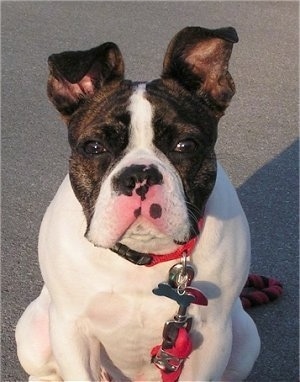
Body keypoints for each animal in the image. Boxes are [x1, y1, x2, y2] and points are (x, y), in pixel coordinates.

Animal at [15, 26, 260, 382]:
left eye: (186, 145)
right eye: (94, 147)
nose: (139, 175)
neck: (142, 256)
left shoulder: (212, 338)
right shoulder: (71, 329)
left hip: (244, 335)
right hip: (34, 332)